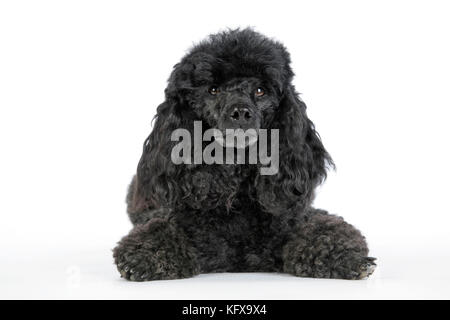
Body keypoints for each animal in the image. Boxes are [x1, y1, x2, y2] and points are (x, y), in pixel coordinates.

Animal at [112, 28, 376, 282]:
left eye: (260, 91)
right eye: (213, 90)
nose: (240, 112)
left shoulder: (298, 216)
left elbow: (324, 231)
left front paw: (347, 258)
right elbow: (159, 232)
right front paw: (144, 257)